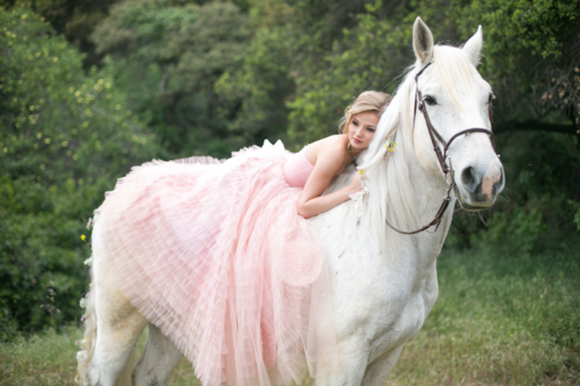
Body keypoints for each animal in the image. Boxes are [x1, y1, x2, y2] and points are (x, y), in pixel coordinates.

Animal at [76, 17, 502, 386]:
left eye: (488, 98)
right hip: (120, 324)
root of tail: (119, 190)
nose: (484, 179)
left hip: (170, 324)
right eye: (430, 99)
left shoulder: (385, 357)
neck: (384, 232)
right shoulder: (341, 360)